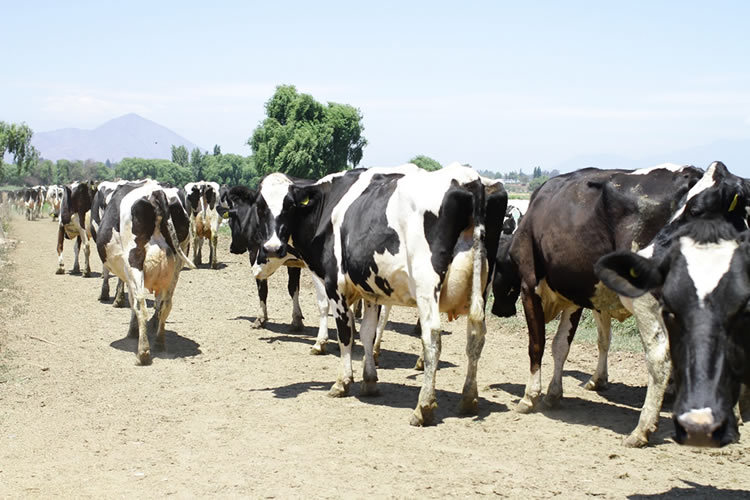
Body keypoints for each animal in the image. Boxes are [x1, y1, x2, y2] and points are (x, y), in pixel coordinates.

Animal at [97, 179, 197, 364]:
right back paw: (159, 343)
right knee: (166, 304)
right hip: (176, 265)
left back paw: (143, 352)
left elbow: (133, 302)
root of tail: (156, 193)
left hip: (134, 260)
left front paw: (132, 331)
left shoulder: (128, 273)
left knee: (140, 304)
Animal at [251, 164, 506, 426]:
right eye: (260, 206)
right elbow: (366, 333)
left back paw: (424, 406)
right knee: (476, 337)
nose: (271, 248)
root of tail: (469, 178)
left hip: (426, 285)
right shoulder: (370, 291)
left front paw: (343, 382)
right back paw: (468, 399)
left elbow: (345, 334)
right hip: (481, 289)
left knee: (432, 338)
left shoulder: (335, 285)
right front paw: (370, 381)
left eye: (289, 205)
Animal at [490, 161, 708, 446]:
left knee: (660, 358)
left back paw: (642, 429)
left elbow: (537, 345)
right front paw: (554, 394)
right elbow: (561, 346)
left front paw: (530, 397)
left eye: (496, 267)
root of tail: (689, 173)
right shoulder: (574, 296)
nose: (498, 310)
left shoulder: (530, 288)